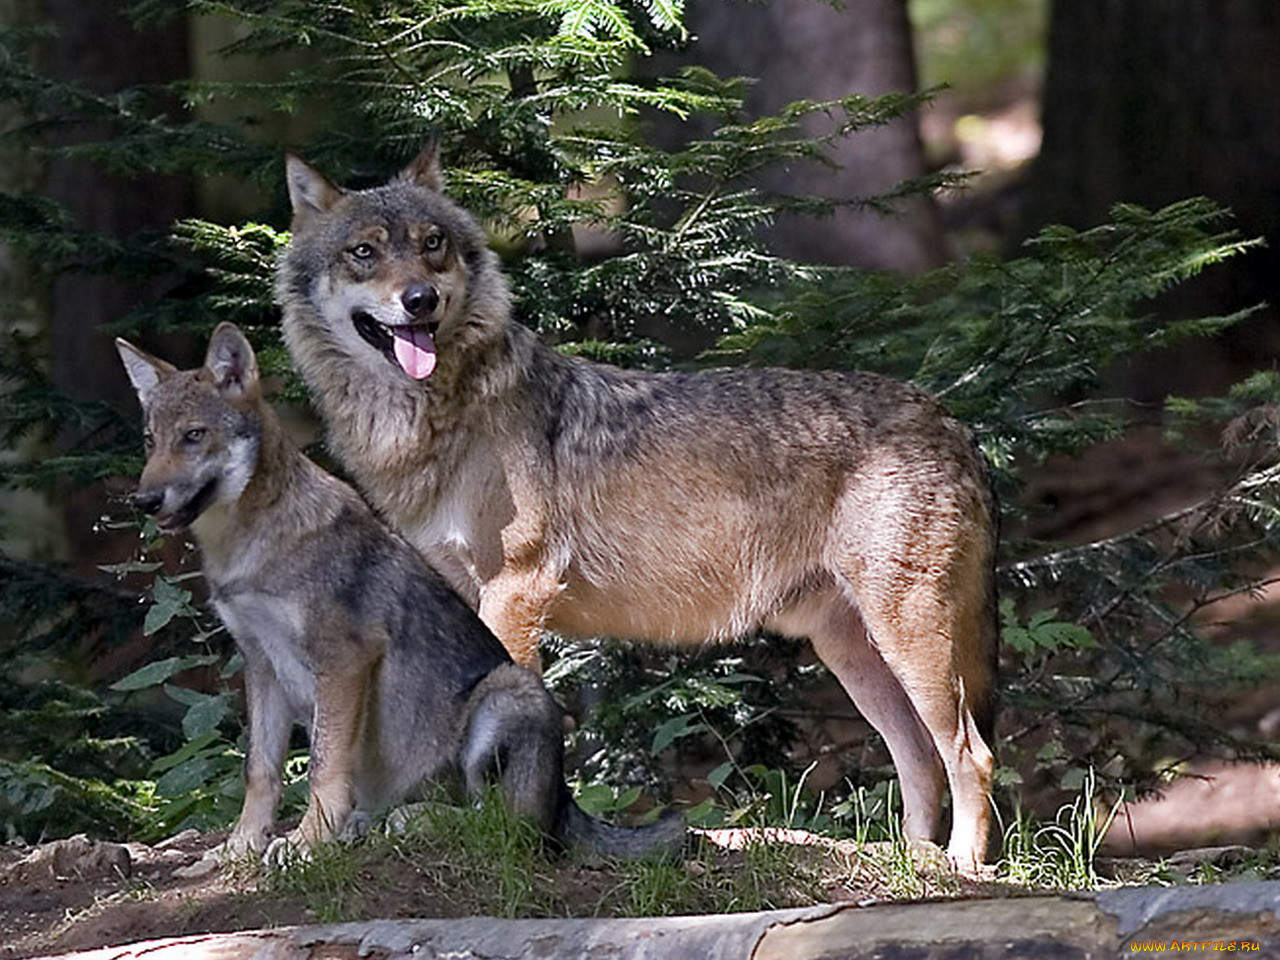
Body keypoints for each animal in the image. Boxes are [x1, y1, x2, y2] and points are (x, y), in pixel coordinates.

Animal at [116, 325, 686, 865]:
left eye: (194, 436)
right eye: (149, 440)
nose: (144, 500)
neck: (248, 549)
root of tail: (566, 803)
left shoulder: (344, 660)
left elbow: (323, 767)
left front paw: (307, 844)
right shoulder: (260, 667)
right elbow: (261, 773)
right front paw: (240, 848)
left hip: (507, 695)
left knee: (503, 830)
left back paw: (412, 821)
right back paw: (366, 825)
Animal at [280, 146, 998, 875]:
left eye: (433, 245)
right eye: (364, 252)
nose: (419, 300)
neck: (437, 417)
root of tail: (951, 422)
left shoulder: (517, 590)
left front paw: (507, 835)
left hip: (906, 640)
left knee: (971, 753)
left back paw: (963, 865)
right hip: (852, 653)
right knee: (918, 756)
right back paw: (911, 860)